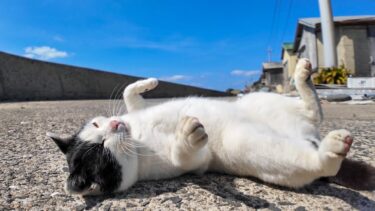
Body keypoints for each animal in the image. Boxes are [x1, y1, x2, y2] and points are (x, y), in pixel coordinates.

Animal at [47, 58, 375, 195]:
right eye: (102, 149)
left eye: (97, 123)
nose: (116, 124)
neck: (136, 137)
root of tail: (309, 138)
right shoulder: (193, 163)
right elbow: (186, 154)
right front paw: (187, 136)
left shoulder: (134, 112)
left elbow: (129, 93)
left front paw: (148, 82)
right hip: (255, 147)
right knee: (317, 161)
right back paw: (331, 150)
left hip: (258, 100)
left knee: (312, 111)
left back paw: (304, 76)